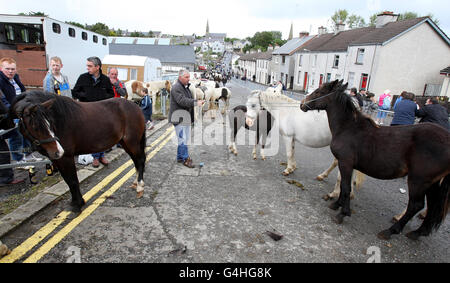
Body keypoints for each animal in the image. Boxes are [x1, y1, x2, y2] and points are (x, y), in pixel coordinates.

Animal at [8, 91, 147, 213]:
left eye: (50, 122)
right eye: (35, 127)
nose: (58, 151)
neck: (60, 120)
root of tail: (135, 106)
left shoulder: (66, 157)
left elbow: (73, 180)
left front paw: (78, 204)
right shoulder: (57, 159)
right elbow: (68, 180)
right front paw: (76, 202)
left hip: (132, 142)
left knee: (140, 160)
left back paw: (140, 185)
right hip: (125, 143)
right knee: (136, 161)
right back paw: (136, 182)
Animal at [298, 80, 450, 242]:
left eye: (319, 92)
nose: (302, 104)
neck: (349, 128)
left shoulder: (346, 162)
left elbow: (346, 187)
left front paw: (342, 213)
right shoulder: (348, 164)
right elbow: (345, 186)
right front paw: (336, 204)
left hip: (418, 181)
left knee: (415, 205)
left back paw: (391, 230)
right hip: (432, 184)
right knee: (433, 207)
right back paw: (418, 232)